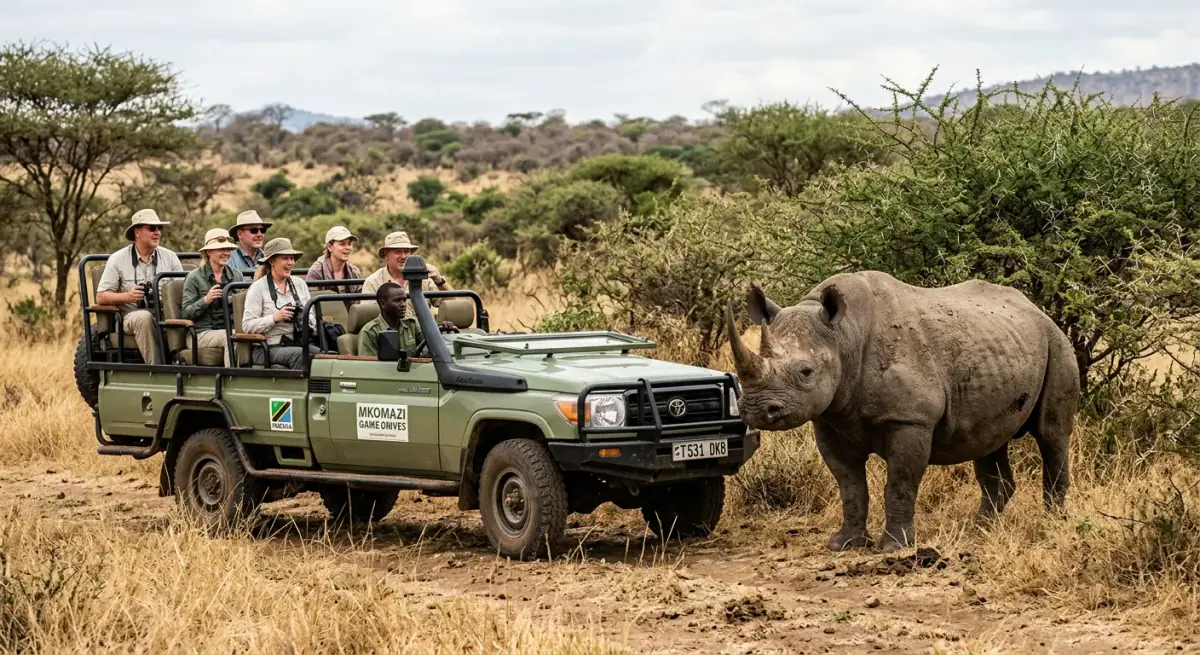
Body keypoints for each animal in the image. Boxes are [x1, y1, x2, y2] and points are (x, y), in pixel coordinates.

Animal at [726, 271, 1079, 553]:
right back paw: (978, 529)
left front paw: (896, 547)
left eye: (806, 372)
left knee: (1052, 435)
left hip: (1057, 344)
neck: (844, 336)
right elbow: (849, 484)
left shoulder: (911, 420)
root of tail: (1037, 310)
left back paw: (1050, 524)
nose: (755, 410)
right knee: (988, 440)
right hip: (1002, 346)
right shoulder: (829, 419)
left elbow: (900, 483)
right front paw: (844, 544)